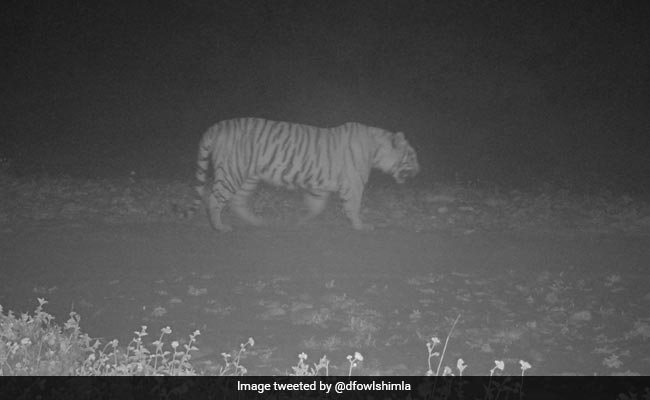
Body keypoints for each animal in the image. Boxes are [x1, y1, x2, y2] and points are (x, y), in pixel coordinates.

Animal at [189, 118, 419, 232]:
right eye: (412, 155)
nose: (420, 170)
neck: (377, 150)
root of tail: (217, 126)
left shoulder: (320, 185)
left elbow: (316, 206)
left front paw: (301, 221)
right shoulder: (354, 184)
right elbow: (353, 206)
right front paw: (360, 226)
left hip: (248, 177)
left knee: (237, 201)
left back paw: (258, 223)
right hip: (232, 172)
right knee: (214, 198)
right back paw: (219, 227)